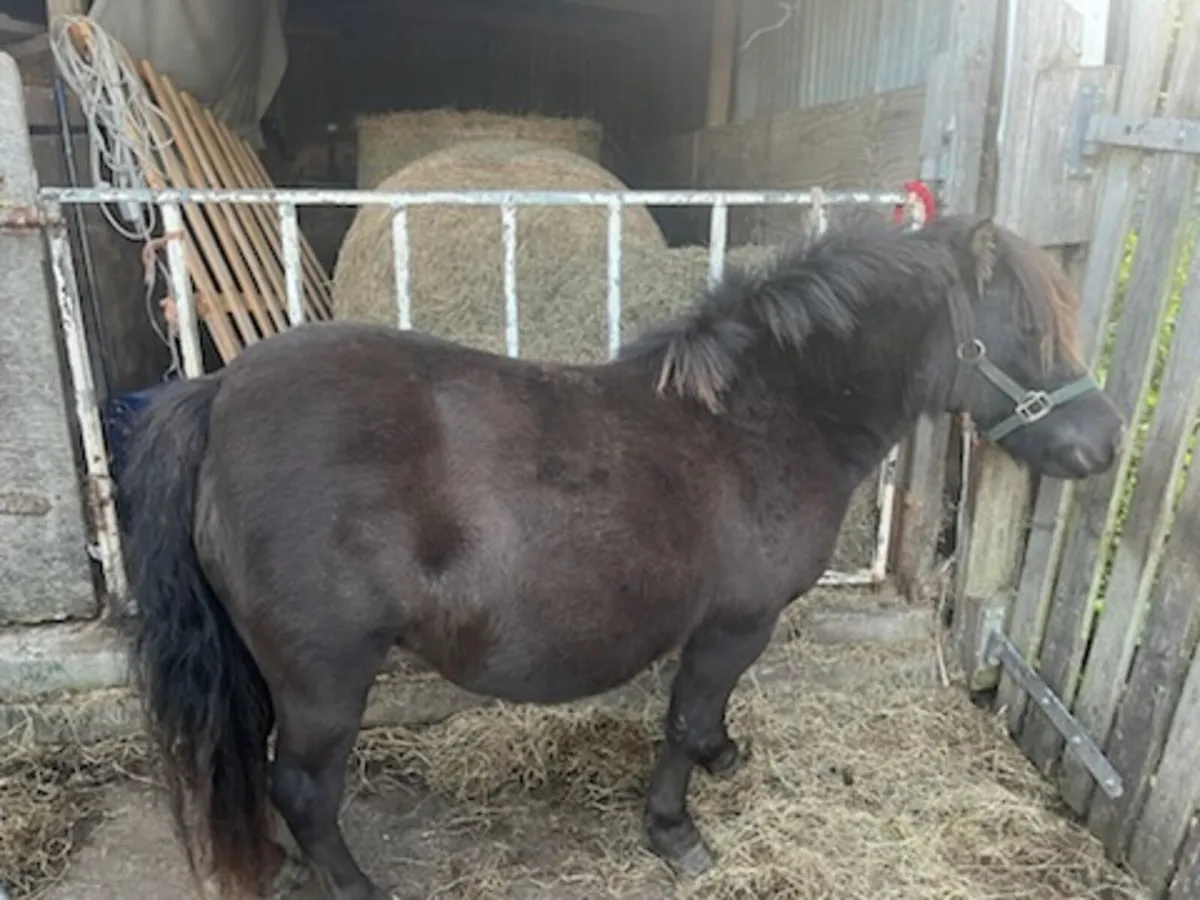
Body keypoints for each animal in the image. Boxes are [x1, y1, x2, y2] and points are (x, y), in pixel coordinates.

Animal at [120, 213, 1124, 899]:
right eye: (1029, 335)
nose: (1108, 442)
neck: (759, 422)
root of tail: (218, 393)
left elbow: (704, 720)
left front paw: (724, 756)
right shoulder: (734, 625)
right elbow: (681, 720)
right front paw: (675, 832)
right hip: (325, 679)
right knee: (301, 789)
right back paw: (356, 887)